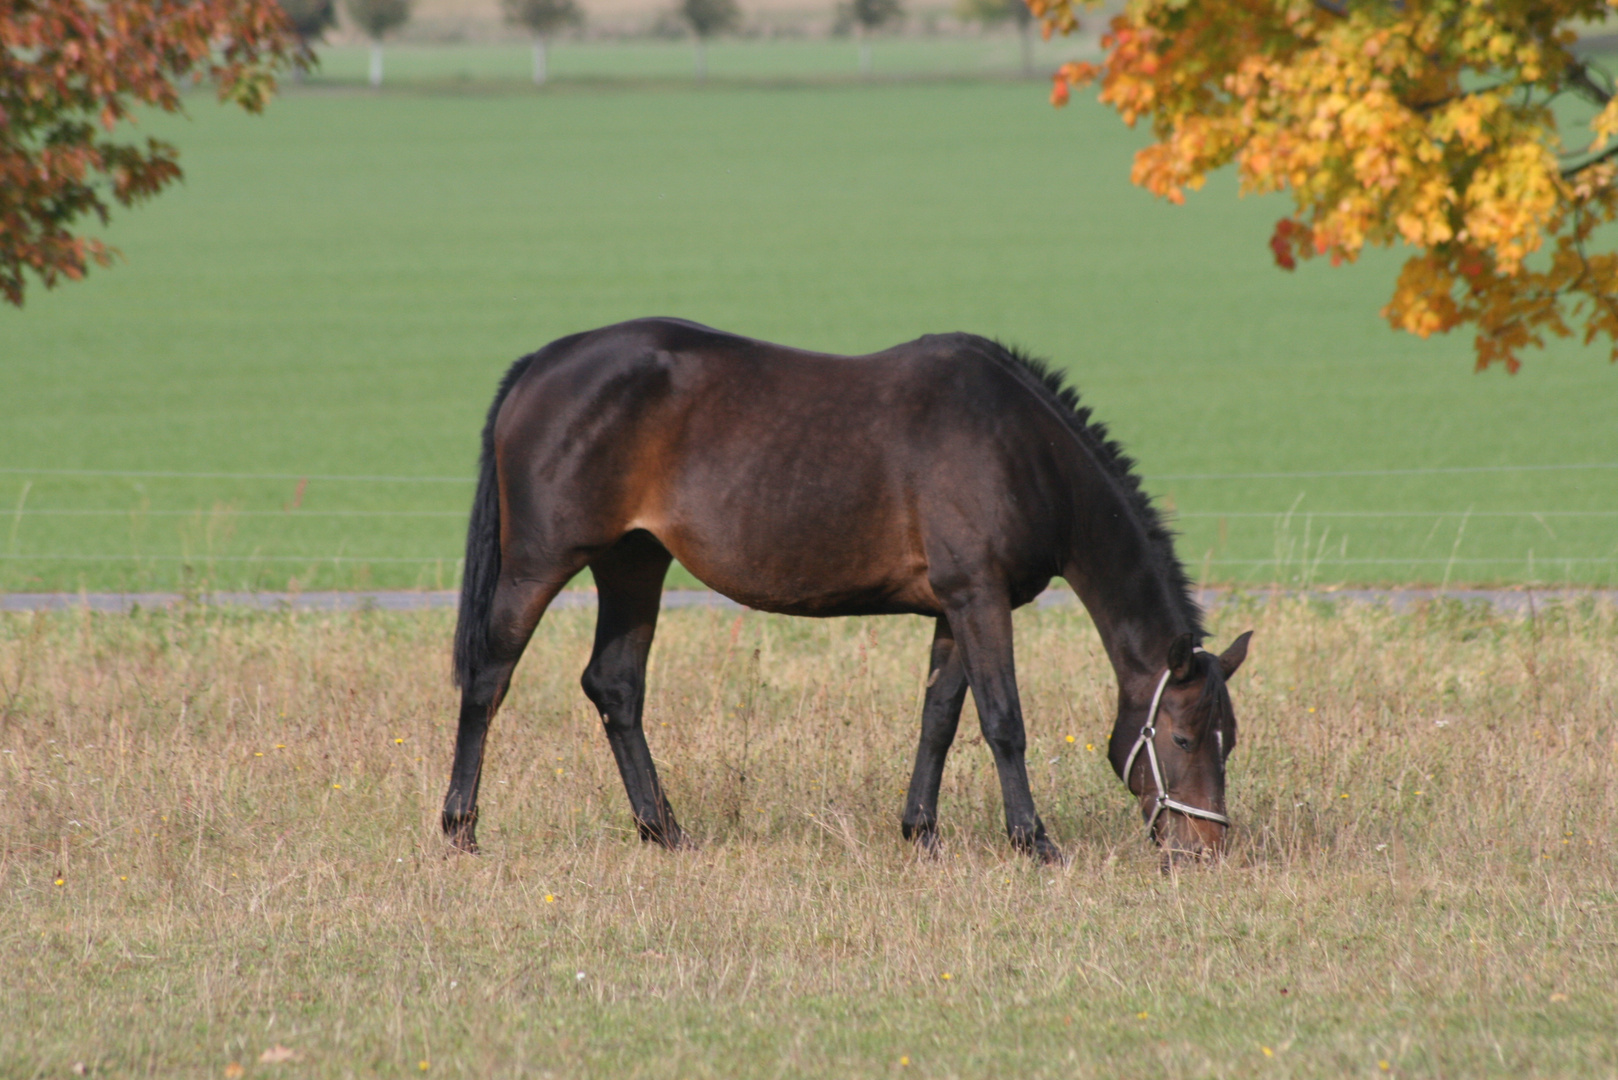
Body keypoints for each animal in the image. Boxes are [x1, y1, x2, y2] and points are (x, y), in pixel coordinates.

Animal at [443, 317, 1249, 867]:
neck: (1020, 447)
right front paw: (1033, 842)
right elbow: (1003, 722)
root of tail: (541, 365)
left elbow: (939, 719)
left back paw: (665, 831)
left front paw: (920, 834)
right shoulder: (980, 597)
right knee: (489, 678)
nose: (1204, 850)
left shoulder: (955, 607)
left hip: (633, 562)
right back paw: (460, 829)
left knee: (614, 685)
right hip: (540, 564)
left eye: (1229, 740)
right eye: (1181, 737)